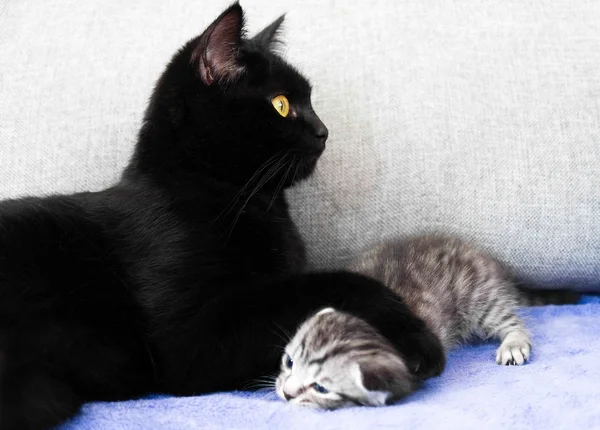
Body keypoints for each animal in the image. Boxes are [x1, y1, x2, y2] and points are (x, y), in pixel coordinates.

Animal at [0, 4, 446, 430]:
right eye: (281, 104)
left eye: (311, 101)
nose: (323, 130)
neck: (242, 198)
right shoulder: (190, 342)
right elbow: (332, 283)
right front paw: (414, 342)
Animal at [274, 233, 580, 408]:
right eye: (289, 362)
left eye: (321, 387)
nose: (285, 393)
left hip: (480, 297)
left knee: (509, 319)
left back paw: (513, 341)